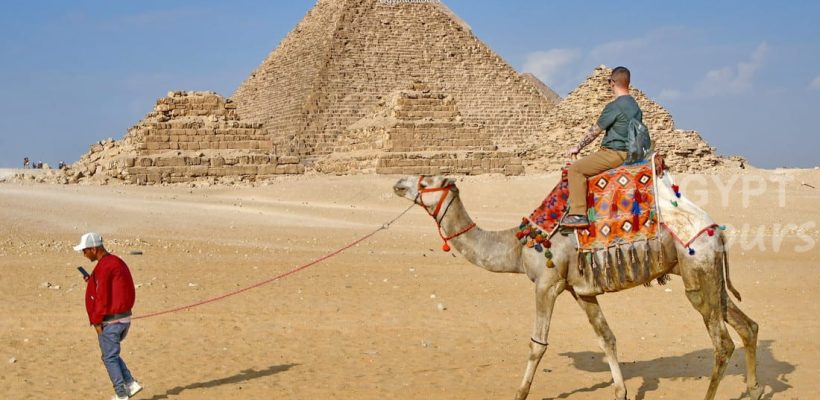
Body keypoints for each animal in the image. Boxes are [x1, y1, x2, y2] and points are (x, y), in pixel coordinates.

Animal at [393, 174, 762, 400]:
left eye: (426, 180)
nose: (398, 183)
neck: (518, 246)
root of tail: (717, 230)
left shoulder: (547, 284)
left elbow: (537, 345)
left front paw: (519, 393)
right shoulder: (581, 290)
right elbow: (606, 338)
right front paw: (620, 391)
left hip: (696, 273)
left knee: (722, 342)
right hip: (711, 276)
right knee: (748, 326)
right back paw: (755, 389)